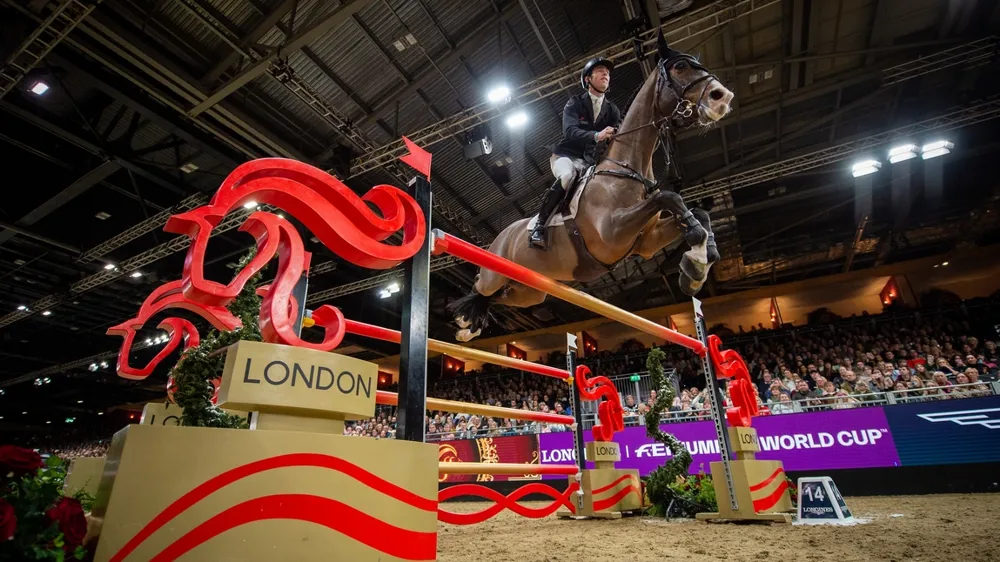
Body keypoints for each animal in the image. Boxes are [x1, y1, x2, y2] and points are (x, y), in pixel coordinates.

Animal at [448, 32, 734, 341]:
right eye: (680, 66)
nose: (723, 97)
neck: (627, 168)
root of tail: (500, 235)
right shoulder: (612, 232)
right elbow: (669, 197)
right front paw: (697, 258)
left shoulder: (646, 240)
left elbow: (695, 211)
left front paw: (700, 261)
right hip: (496, 273)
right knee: (481, 286)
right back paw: (465, 322)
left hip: (528, 291)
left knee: (497, 297)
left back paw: (469, 326)